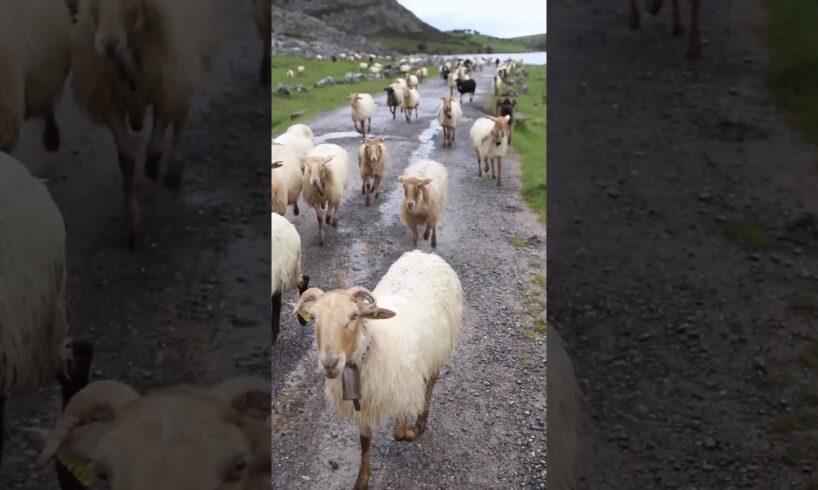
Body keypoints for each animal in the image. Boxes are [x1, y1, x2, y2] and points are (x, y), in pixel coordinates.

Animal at [70, 0, 220, 247]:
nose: (108, 44)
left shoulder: (168, 73)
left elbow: (161, 122)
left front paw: (154, 159)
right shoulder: (110, 103)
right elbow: (127, 160)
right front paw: (132, 223)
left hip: (187, 57)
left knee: (180, 116)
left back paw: (173, 168)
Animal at [292, 249, 464, 490]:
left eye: (354, 316)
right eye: (314, 318)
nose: (330, 363)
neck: (369, 348)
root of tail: (426, 254)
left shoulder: (403, 391)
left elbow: (399, 433)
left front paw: (412, 432)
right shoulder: (363, 403)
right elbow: (365, 442)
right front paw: (362, 479)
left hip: (439, 348)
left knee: (431, 381)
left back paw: (421, 420)